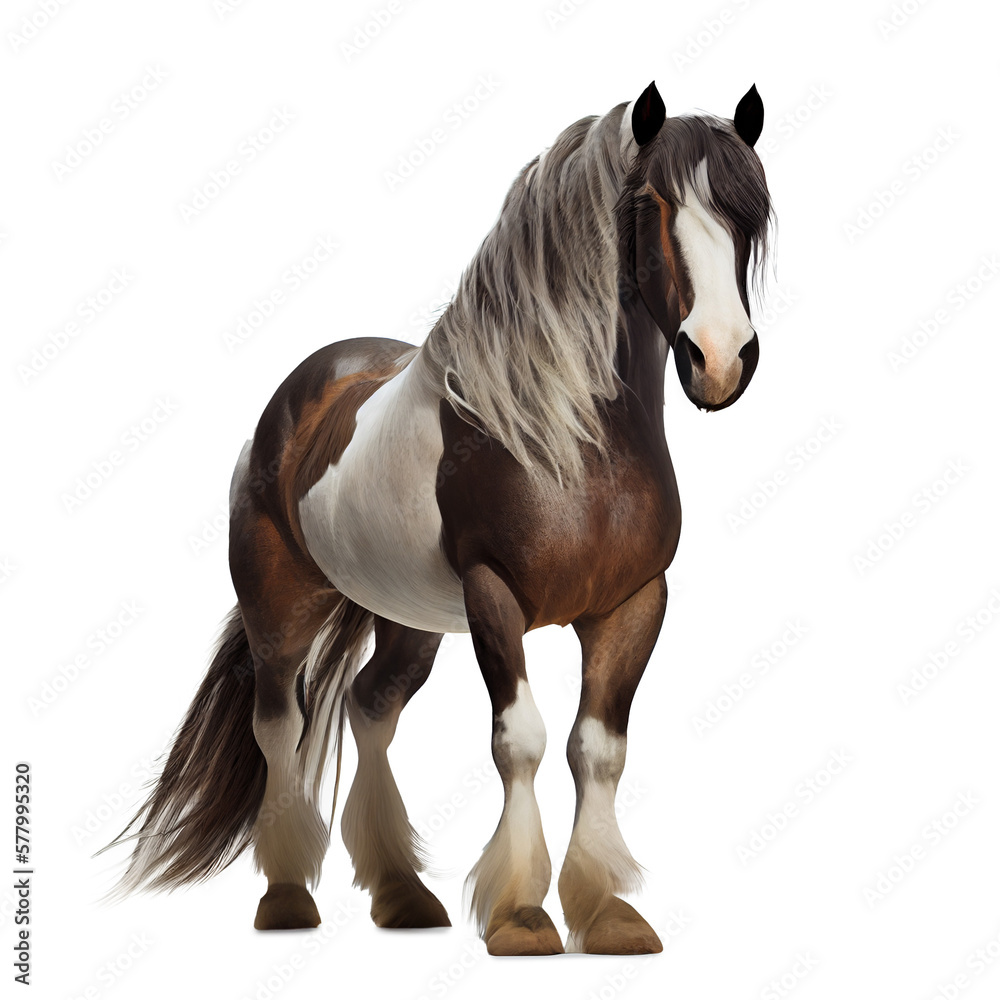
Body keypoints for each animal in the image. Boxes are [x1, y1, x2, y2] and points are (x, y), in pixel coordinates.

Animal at [100, 80, 773, 956]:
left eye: (750, 212)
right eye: (650, 202)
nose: (720, 359)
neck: (569, 436)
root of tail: (297, 396)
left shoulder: (634, 603)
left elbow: (598, 749)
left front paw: (607, 913)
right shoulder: (494, 596)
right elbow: (519, 740)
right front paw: (521, 915)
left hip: (407, 620)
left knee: (370, 707)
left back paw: (401, 892)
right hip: (282, 612)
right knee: (278, 725)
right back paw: (287, 896)